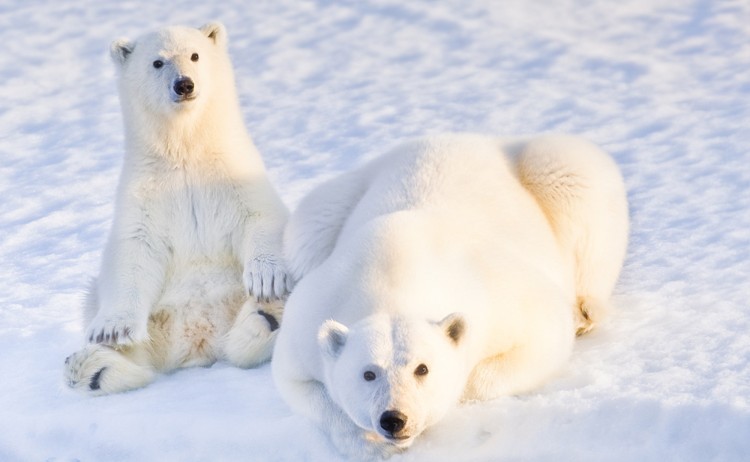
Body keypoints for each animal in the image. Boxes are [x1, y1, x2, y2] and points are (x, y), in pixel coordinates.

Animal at [64, 22, 291, 396]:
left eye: (195, 55)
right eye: (158, 62)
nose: (184, 84)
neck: (185, 152)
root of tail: (199, 338)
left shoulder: (235, 174)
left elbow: (261, 216)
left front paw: (267, 279)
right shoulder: (146, 194)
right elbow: (134, 250)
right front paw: (111, 329)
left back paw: (268, 314)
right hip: (157, 318)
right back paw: (92, 368)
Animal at [272, 133, 629, 458]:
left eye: (422, 368)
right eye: (368, 372)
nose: (394, 419)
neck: (393, 276)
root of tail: (470, 137)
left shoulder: (495, 293)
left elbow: (543, 334)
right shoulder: (313, 315)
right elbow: (298, 382)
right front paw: (369, 444)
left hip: (554, 172)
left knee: (576, 182)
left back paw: (586, 312)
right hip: (335, 202)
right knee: (309, 226)